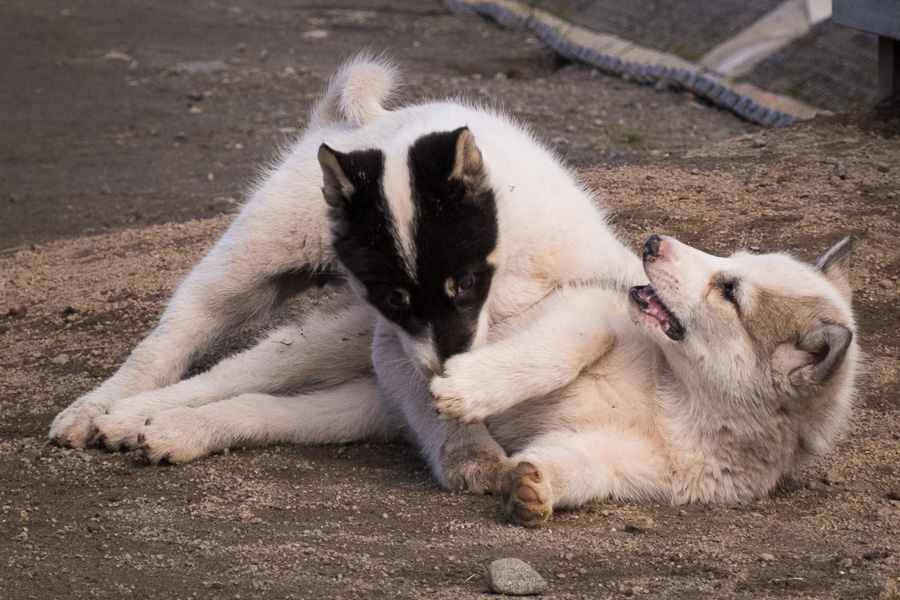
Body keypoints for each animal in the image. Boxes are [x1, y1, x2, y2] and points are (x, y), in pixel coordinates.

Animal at [49, 56, 856, 524]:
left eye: (729, 288)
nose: (654, 246)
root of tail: (363, 124)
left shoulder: (638, 461)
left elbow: (572, 462)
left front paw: (521, 476)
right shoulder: (569, 315)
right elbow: (548, 352)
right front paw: (472, 411)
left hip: (351, 397)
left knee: (253, 404)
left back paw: (165, 431)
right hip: (263, 282)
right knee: (189, 352)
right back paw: (108, 412)